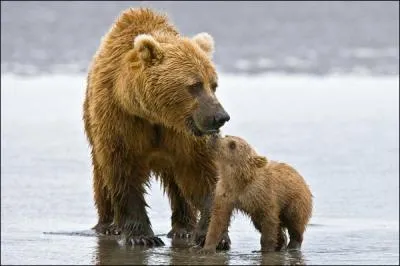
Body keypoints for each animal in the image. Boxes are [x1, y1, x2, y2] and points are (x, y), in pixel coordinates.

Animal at [83, 8, 230, 249]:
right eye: (194, 85)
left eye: (214, 84)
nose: (220, 117)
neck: (155, 115)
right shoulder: (120, 118)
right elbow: (123, 172)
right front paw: (142, 236)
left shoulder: (185, 134)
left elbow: (203, 174)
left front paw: (211, 235)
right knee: (102, 177)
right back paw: (108, 225)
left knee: (178, 185)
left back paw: (184, 229)